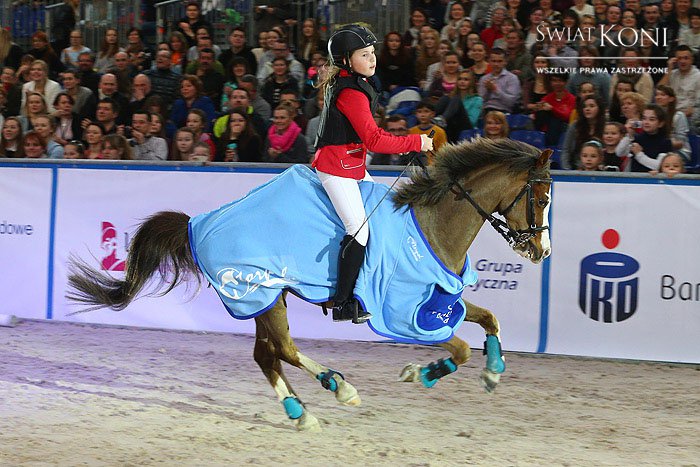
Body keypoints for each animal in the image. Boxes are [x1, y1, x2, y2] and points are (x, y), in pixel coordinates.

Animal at [67, 138, 552, 431]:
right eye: (542, 197)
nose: (541, 252)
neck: (432, 226)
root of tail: (198, 223)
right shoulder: (405, 314)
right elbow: (462, 347)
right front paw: (423, 373)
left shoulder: (440, 301)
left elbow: (489, 319)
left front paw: (493, 372)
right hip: (260, 295)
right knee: (281, 349)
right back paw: (338, 388)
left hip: (266, 298)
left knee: (266, 355)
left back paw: (300, 410)